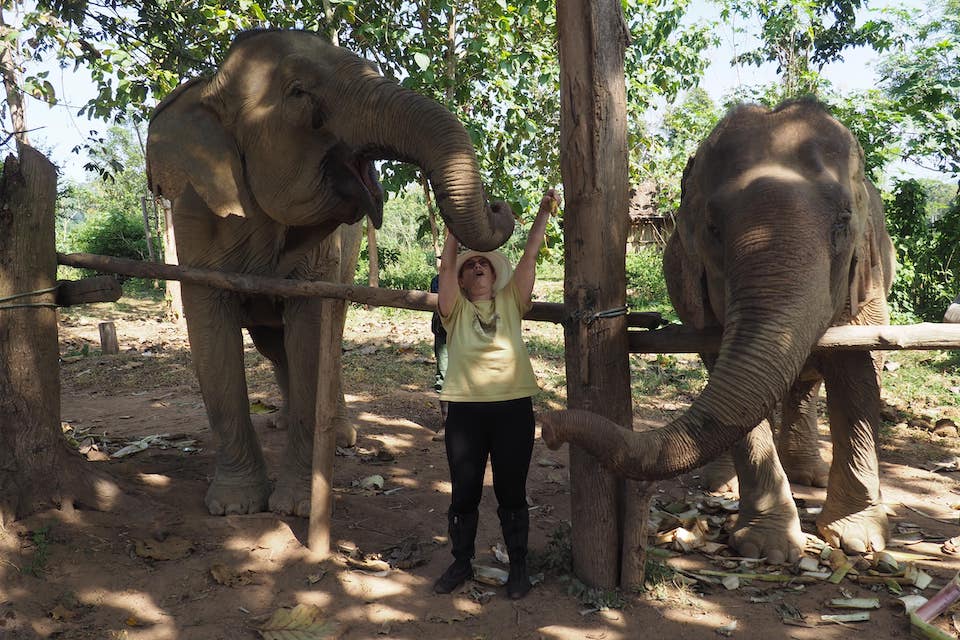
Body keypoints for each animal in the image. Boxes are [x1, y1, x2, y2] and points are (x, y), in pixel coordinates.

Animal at [145, 31, 512, 520]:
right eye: (300, 93)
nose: (500, 205)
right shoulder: (193, 218)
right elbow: (210, 335)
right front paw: (235, 508)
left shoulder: (326, 248)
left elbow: (311, 334)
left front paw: (296, 508)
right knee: (273, 343)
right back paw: (280, 422)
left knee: (326, 335)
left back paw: (339, 436)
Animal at [544, 99, 896, 560]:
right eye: (713, 230)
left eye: (843, 222)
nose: (548, 427)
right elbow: (733, 387)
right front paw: (768, 550)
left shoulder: (868, 280)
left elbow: (857, 376)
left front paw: (858, 541)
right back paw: (722, 485)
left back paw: (811, 477)